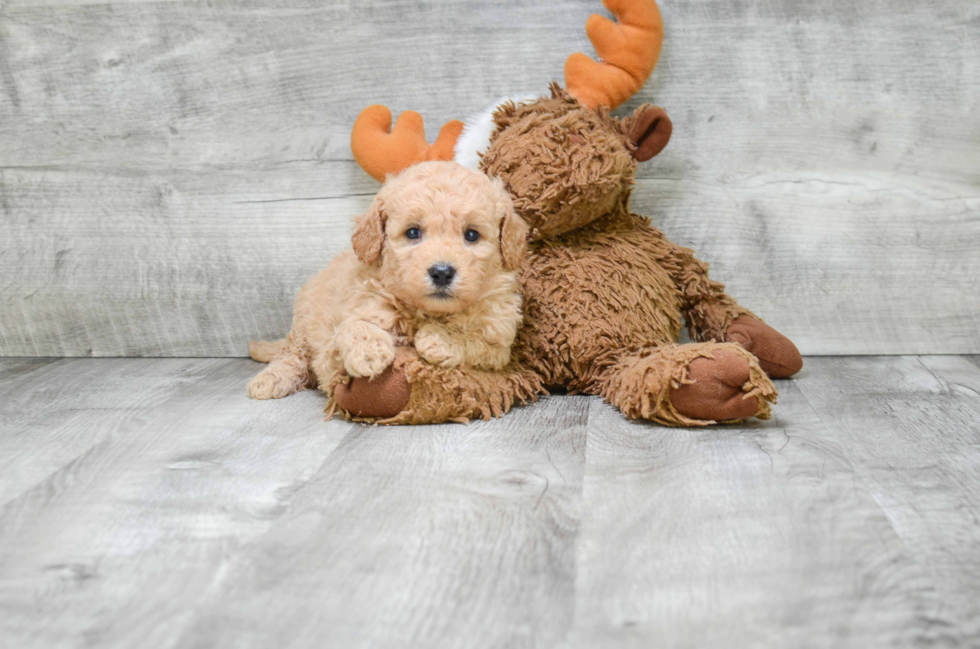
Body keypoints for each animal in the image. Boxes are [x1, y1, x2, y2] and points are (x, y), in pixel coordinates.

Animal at [249, 160, 532, 402]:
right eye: (413, 232)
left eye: (472, 235)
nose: (442, 272)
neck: (424, 313)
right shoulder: (331, 355)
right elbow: (353, 327)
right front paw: (369, 352)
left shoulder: (500, 345)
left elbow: (477, 340)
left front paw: (441, 339)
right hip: (304, 322)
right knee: (292, 355)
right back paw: (270, 379)